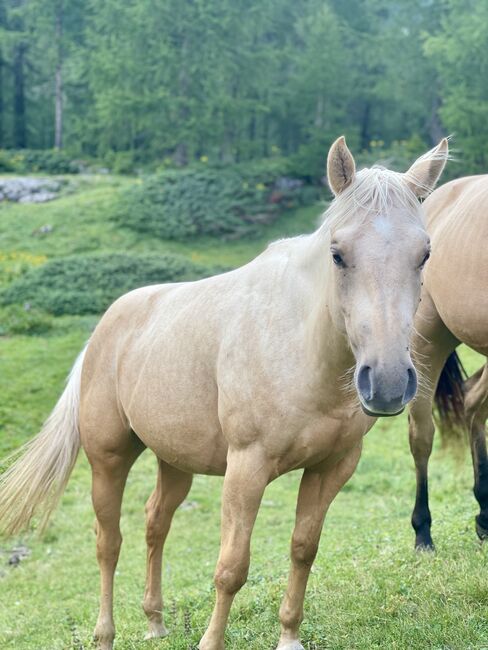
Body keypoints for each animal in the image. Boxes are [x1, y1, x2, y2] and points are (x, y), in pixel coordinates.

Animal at [0, 134, 448, 644]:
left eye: (424, 254)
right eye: (337, 253)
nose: (388, 382)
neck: (300, 347)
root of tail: (105, 329)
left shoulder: (332, 467)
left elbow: (303, 549)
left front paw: (289, 637)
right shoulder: (246, 468)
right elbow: (232, 567)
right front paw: (211, 641)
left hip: (174, 460)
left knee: (155, 523)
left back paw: (155, 623)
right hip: (108, 459)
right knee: (108, 543)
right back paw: (105, 635)